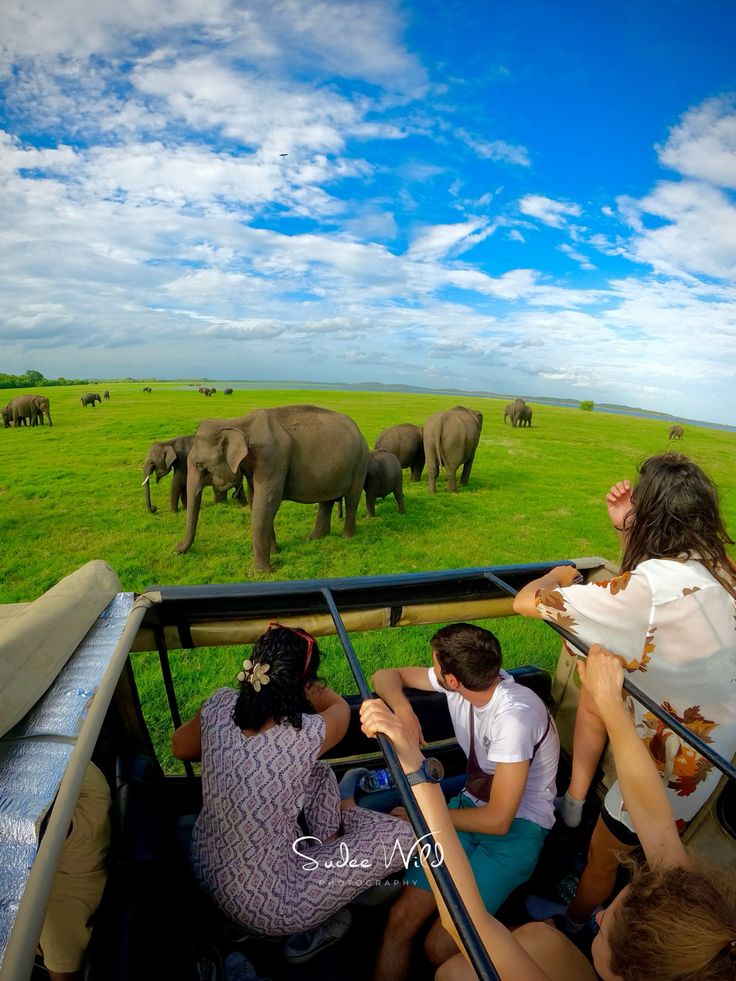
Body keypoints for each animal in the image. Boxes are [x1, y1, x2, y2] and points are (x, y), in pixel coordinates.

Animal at [176, 405, 369, 572]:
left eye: (200, 465)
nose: (176, 547)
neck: (238, 423)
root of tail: (358, 430)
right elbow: (255, 500)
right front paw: (275, 552)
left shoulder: (271, 457)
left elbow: (267, 502)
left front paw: (260, 572)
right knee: (326, 501)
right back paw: (315, 538)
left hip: (359, 464)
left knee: (351, 500)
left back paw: (347, 537)